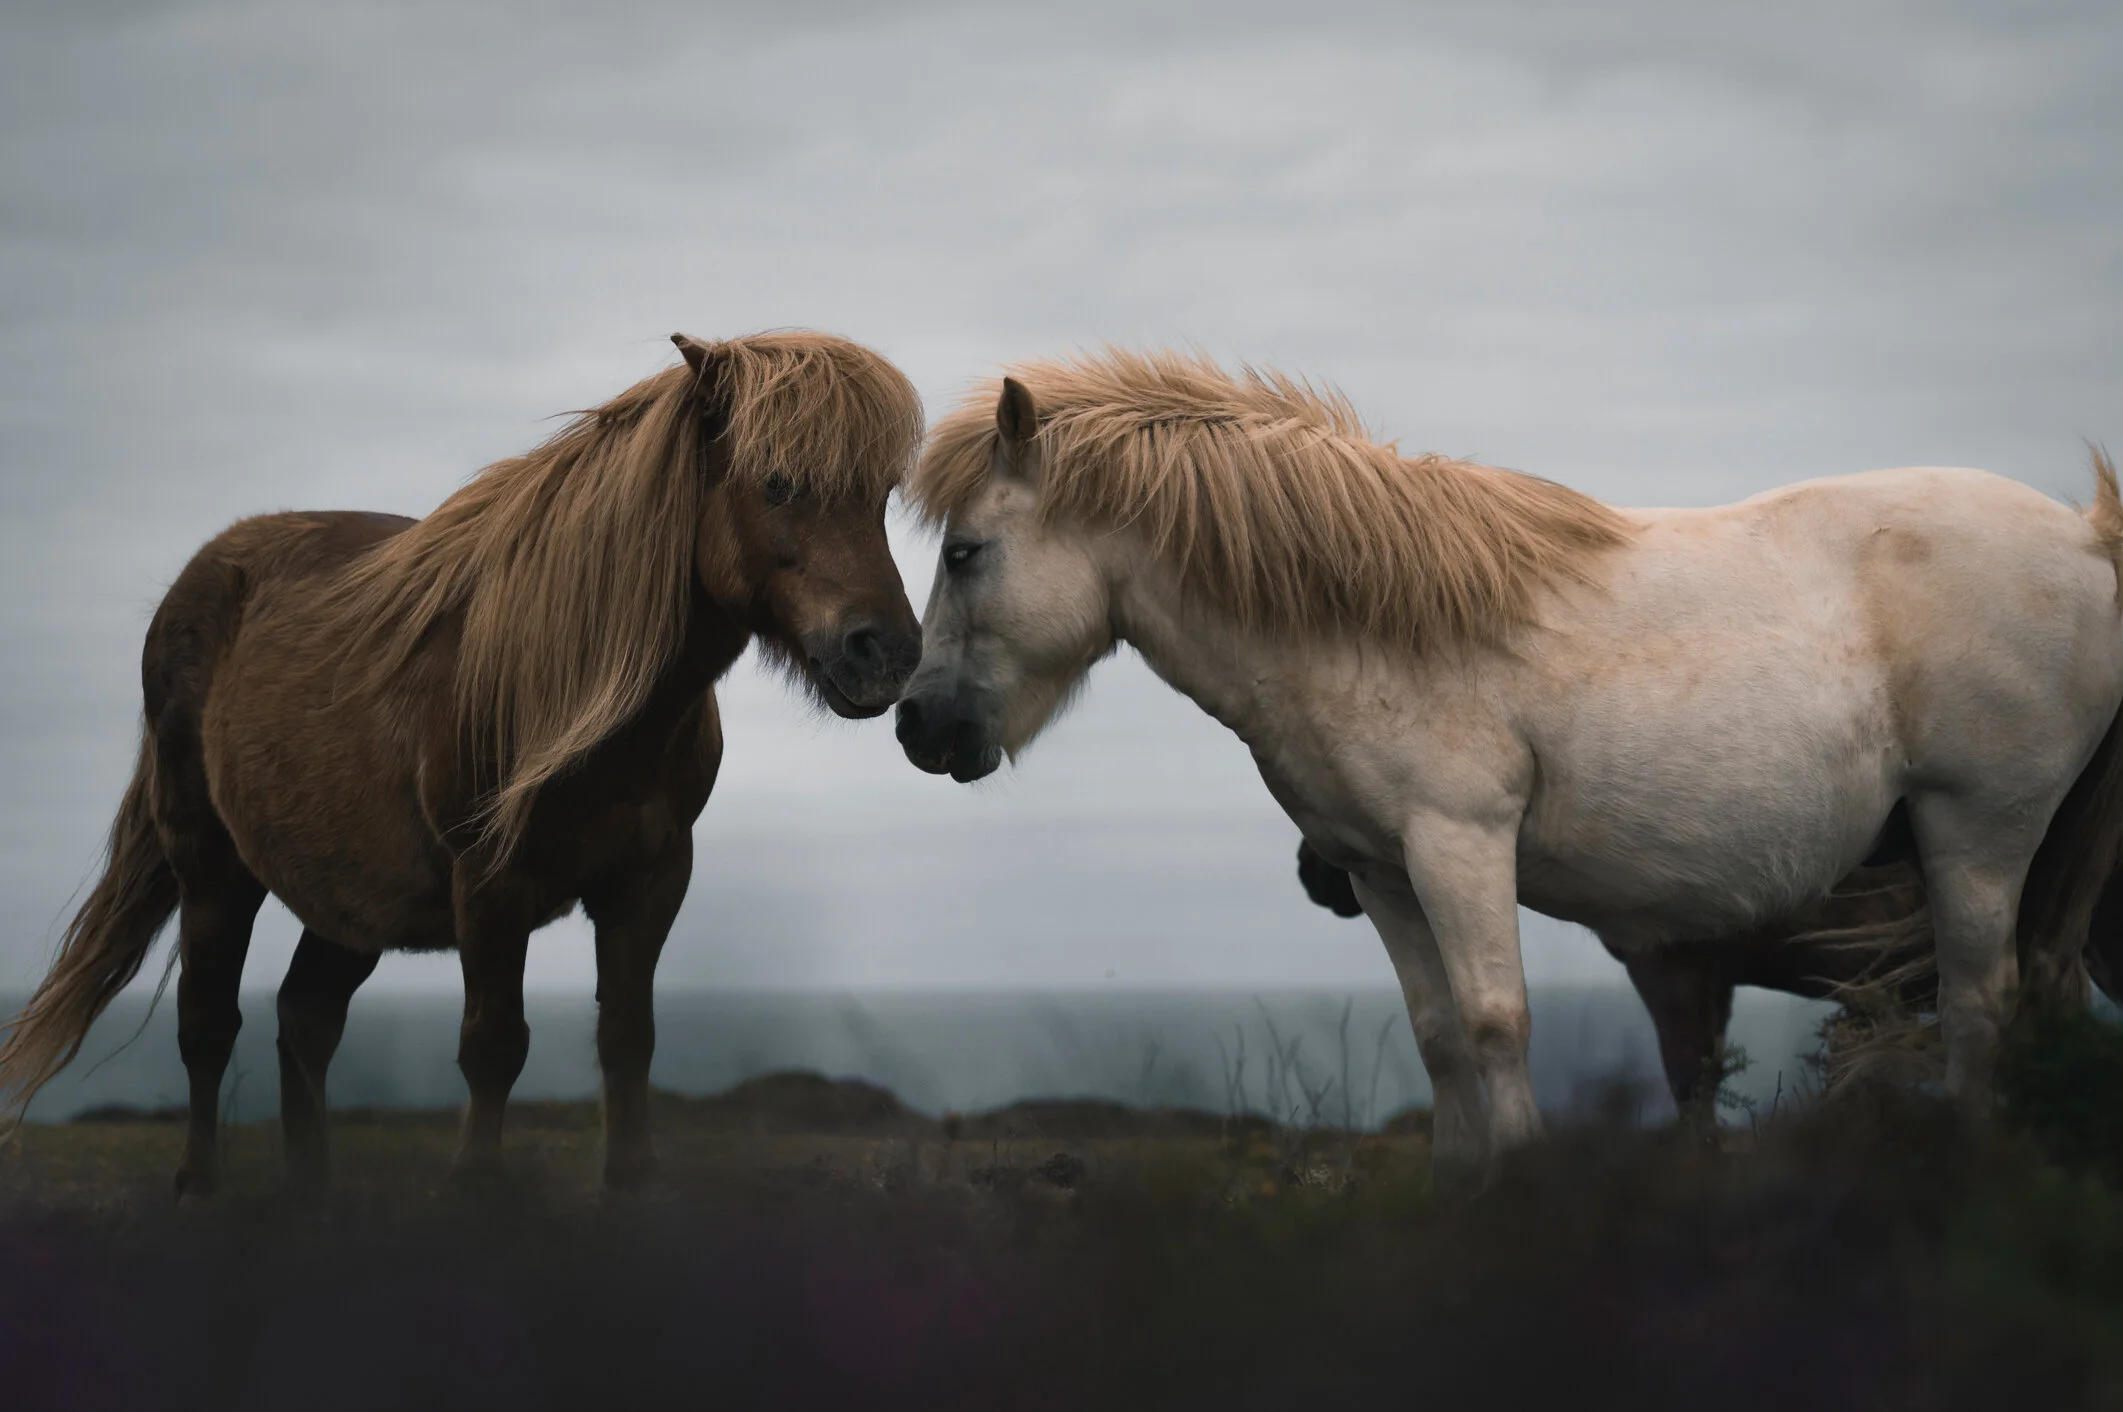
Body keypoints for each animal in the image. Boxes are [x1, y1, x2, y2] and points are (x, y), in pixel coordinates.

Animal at [0, 330, 925, 1195]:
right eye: (777, 482)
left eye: (880, 495)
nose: (884, 652)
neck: (573, 682)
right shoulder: (489, 883)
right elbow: (494, 1045)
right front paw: (477, 1191)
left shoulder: (651, 880)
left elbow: (628, 1039)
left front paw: (626, 1190)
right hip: (212, 869)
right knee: (207, 1025)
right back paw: (200, 1186)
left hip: (351, 898)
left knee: (305, 1016)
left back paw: (308, 1194)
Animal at [894, 349, 2123, 1182]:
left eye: (965, 553)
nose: (918, 726)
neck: (1360, 624)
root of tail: (2084, 540)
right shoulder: (1381, 870)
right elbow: (1441, 1035)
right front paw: (1455, 1185)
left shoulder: (1460, 844)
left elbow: (1494, 1020)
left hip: (1976, 831)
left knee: (1978, 1000)